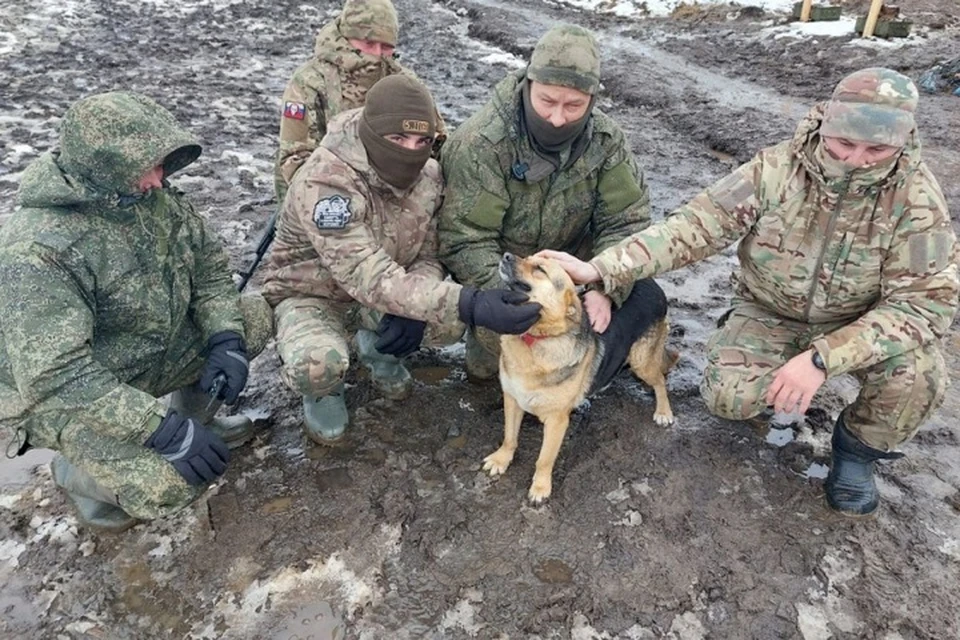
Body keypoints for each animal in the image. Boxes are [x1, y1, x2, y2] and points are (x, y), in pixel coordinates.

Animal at [484, 252, 680, 502]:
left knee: (660, 380)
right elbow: (510, 437)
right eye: (528, 258)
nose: (506, 255)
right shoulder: (512, 399)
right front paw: (501, 459)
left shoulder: (557, 421)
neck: (537, 338)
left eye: (540, 268)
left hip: (641, 361)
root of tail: (650, 282)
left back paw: (663, 411)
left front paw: (540, 487)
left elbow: (544, 459)